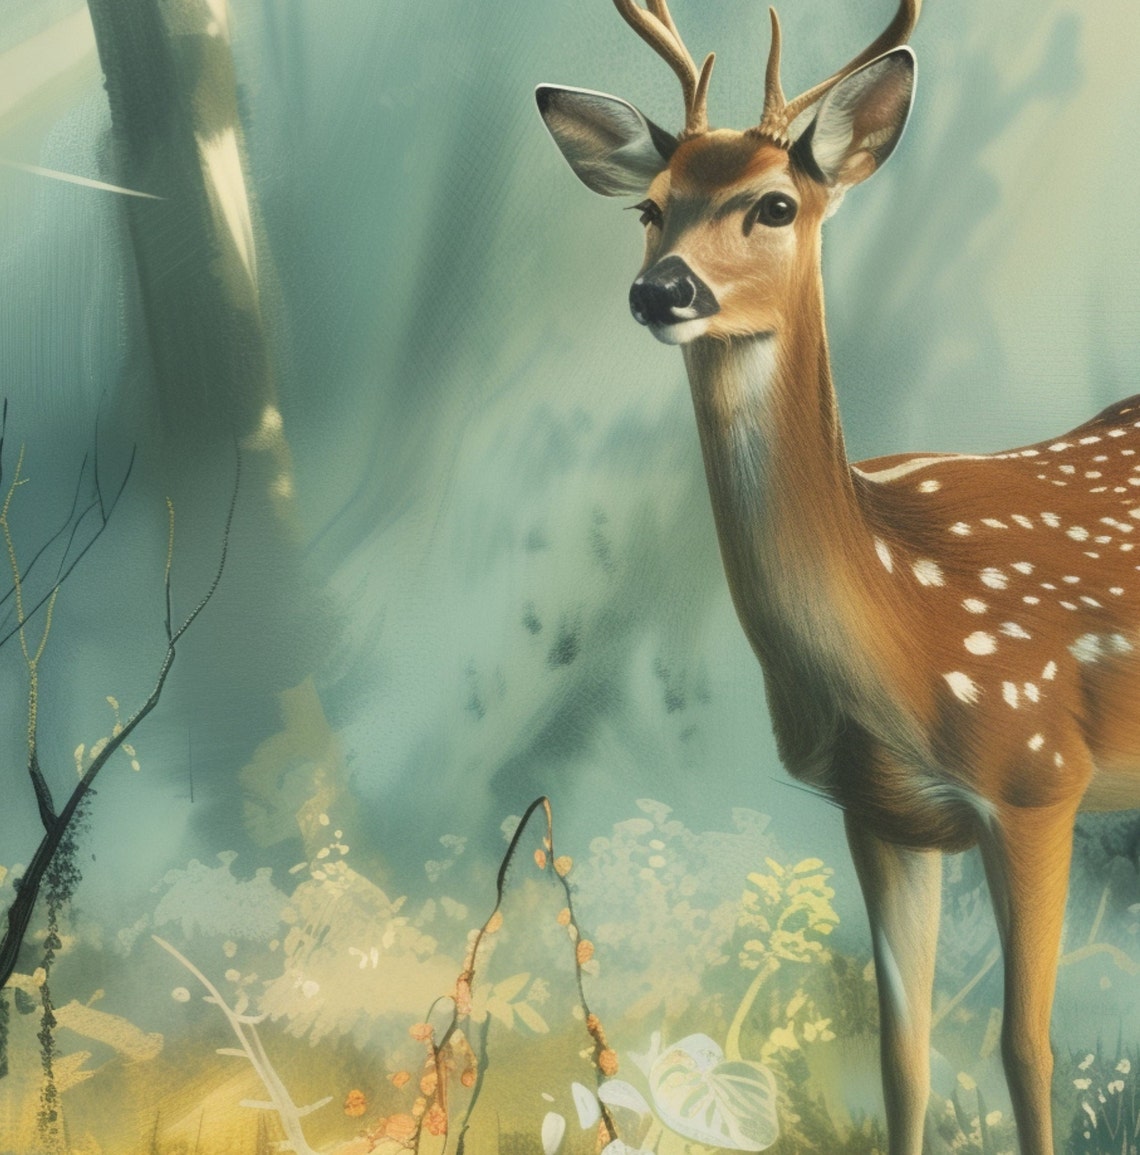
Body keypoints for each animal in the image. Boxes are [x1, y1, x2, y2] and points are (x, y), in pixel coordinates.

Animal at [534, 2, 1140, 1152]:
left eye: (774, 203)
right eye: (650, 206)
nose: (660, 289)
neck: (898, 629)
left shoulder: (1039, 777)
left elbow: (1024, 1050)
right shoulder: (881, 813)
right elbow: (904, 1058)